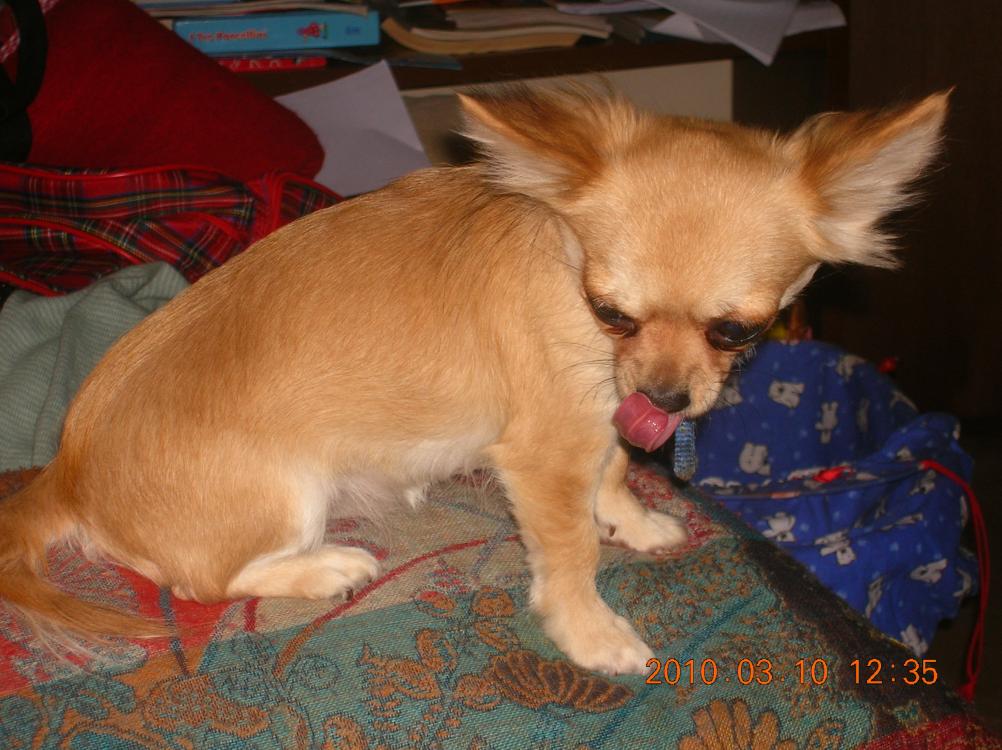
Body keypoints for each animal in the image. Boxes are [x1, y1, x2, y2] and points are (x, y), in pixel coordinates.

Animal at [0, 84, 948, 674]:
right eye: (611, 311)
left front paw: (633, 518)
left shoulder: (602, 408)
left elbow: (613, 467)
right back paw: (324, 570)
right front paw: (590, 632)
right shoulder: (544, 452)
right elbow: (568, 553)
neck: (565, 271)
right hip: (287, 494)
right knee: (206, 582)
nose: (669, 402)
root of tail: (68, 472)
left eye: (734, 331)